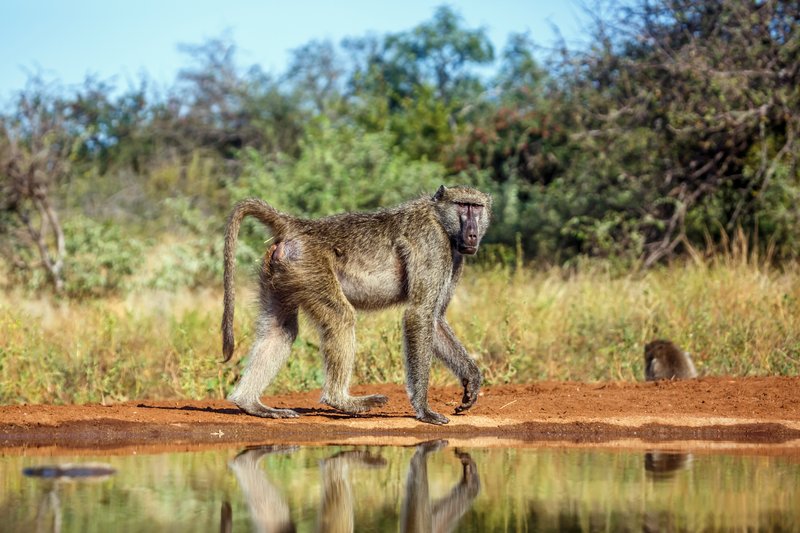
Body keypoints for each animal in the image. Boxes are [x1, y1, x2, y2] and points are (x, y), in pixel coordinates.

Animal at [221, 185, 491, 425]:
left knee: (280, 331)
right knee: (341, 317)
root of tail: (301, 226)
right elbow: (419, 314)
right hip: (309, 267)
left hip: (282, 272)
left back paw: (250, 404)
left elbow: (435, 318)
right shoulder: (432, 244)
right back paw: (343, 401)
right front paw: (424, 410)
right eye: (463, 206)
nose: (472, 234)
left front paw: (471, 380)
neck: (439, 219)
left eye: (477, 207)